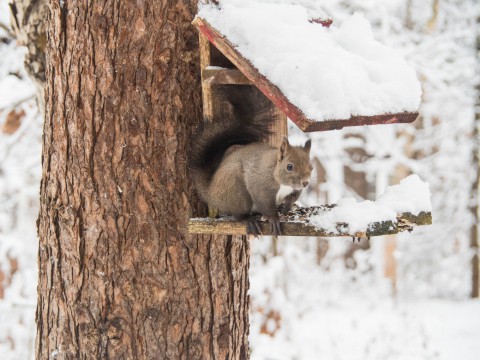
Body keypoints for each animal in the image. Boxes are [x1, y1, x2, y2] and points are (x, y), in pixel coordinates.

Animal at [189, 90, 314, 236]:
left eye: (311, 167)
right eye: (289, 166)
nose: (305, 183)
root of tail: (210, 193)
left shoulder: (294, 189)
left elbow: (293, 196)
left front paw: (286, 206)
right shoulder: (261, 188)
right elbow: (265, 204)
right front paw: (274, 218)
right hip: (236, 192)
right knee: (238, 214)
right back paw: (248, 220)